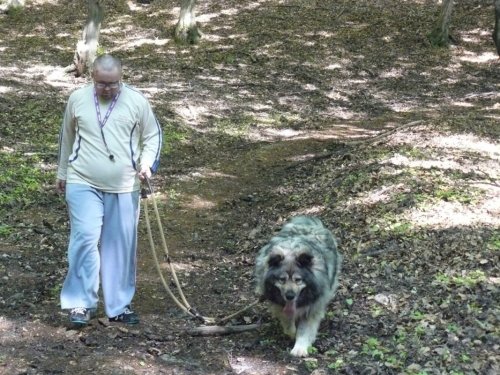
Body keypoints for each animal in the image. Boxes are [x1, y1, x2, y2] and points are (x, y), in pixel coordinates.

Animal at [256, 216, 342, 356]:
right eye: (282, 280)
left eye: (298, 280)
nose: (290, 296)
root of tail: (308, 223)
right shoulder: (278, 305)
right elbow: (288, 324)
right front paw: (292, 332)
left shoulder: (312, 307)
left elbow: (304, 330)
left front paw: (300, 348)